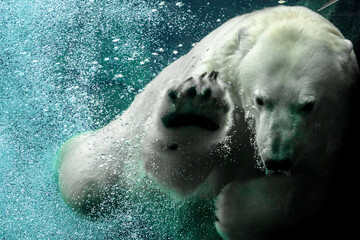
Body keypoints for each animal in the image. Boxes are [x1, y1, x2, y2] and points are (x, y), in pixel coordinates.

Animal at [54, 5, 358, 238]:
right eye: (261, 100)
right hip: (115, 148)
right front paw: (192, 116)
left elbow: (311, 187)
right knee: (85, 182)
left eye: (308, 105)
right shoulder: (224, 87)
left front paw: (231, 210)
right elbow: (176, 177)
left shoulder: (332, 131)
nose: (277, 160)